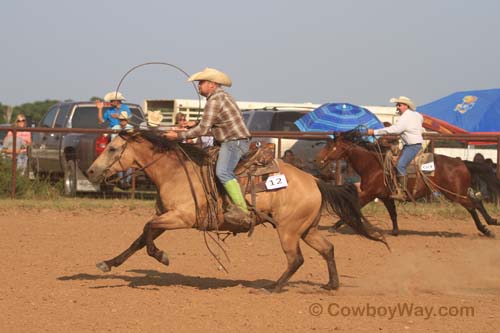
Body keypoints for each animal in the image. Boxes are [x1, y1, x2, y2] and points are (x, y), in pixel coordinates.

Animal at [87, 130, 386, 290]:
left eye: (113, 148)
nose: (90, 171)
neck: (175, 173)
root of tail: (314, 181)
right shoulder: (167, 216)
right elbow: (139, 239)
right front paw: (109, 263)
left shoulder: (181, 217)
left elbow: (147, 231)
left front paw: (162, 256)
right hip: (306, 229)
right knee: (327, 249)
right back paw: (331, 284)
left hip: (289, 231)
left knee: (296, 259)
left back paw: (273, 287)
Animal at [318, 130, 498, 236]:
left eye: (331, 146)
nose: (318, 159)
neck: (373, 165)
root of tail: (461, 162)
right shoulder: (386, 196)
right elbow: (393, 213)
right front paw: (395, 231)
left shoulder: (368, 194)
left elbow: (351, 209)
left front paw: (334, 227)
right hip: (458, 192)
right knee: (476, 203)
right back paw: (491, 223)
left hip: (455, 194)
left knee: (473, 205)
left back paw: (487, 228)